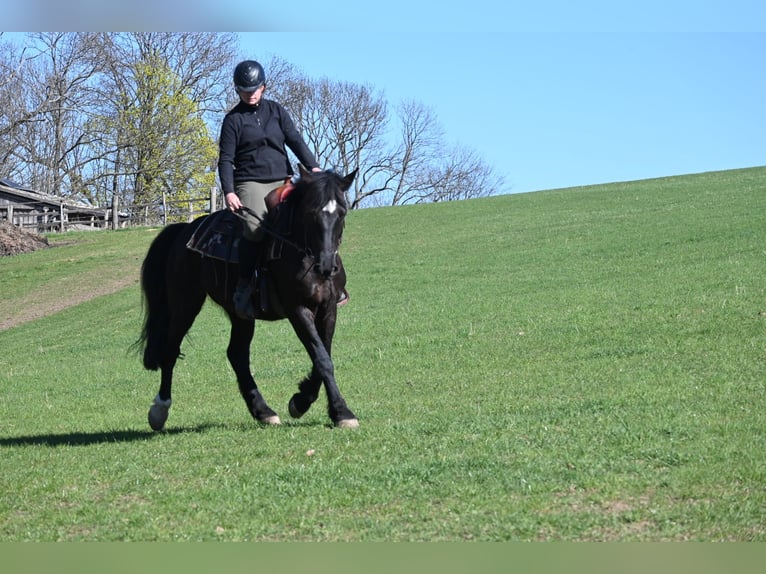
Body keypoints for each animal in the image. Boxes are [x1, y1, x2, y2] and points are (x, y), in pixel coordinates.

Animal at [136, 166, 359, 430]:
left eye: (342, 213)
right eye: (312, 212)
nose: (326, 266)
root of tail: (184, 231)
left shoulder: (328, 308)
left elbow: (323, 355)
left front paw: (303, 400)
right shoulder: (297, 309)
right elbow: (322, 358)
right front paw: (340, 411)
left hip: (240, 314)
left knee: (237, 355)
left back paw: (263, 411)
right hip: (185, 305)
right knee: (170, 352)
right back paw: (159, 410)